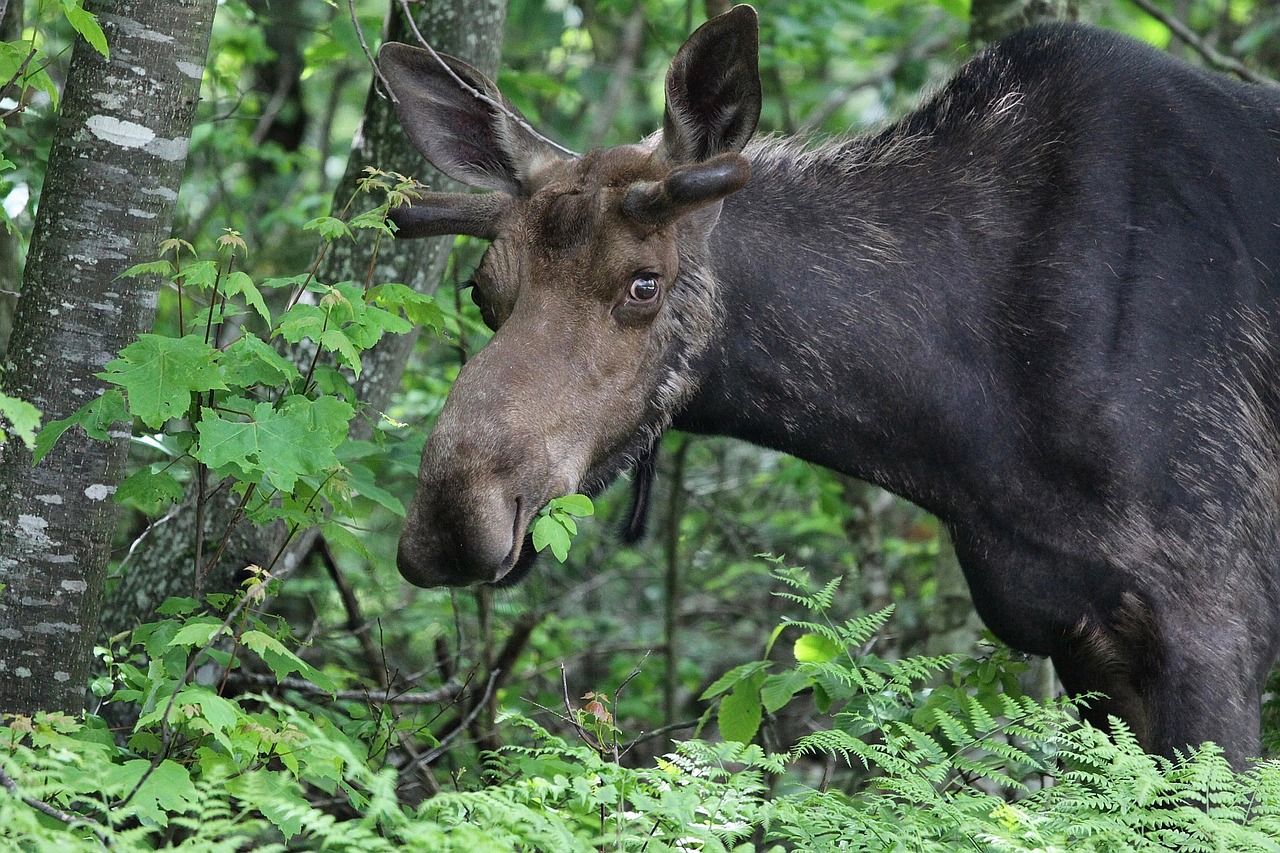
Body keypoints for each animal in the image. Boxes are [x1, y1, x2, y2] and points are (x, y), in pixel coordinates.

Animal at [376, 4, 1280, 763]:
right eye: (481, 291)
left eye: (643, 283)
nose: (451, 511)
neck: (968, 435)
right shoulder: (1082, 643)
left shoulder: (1214, 625)